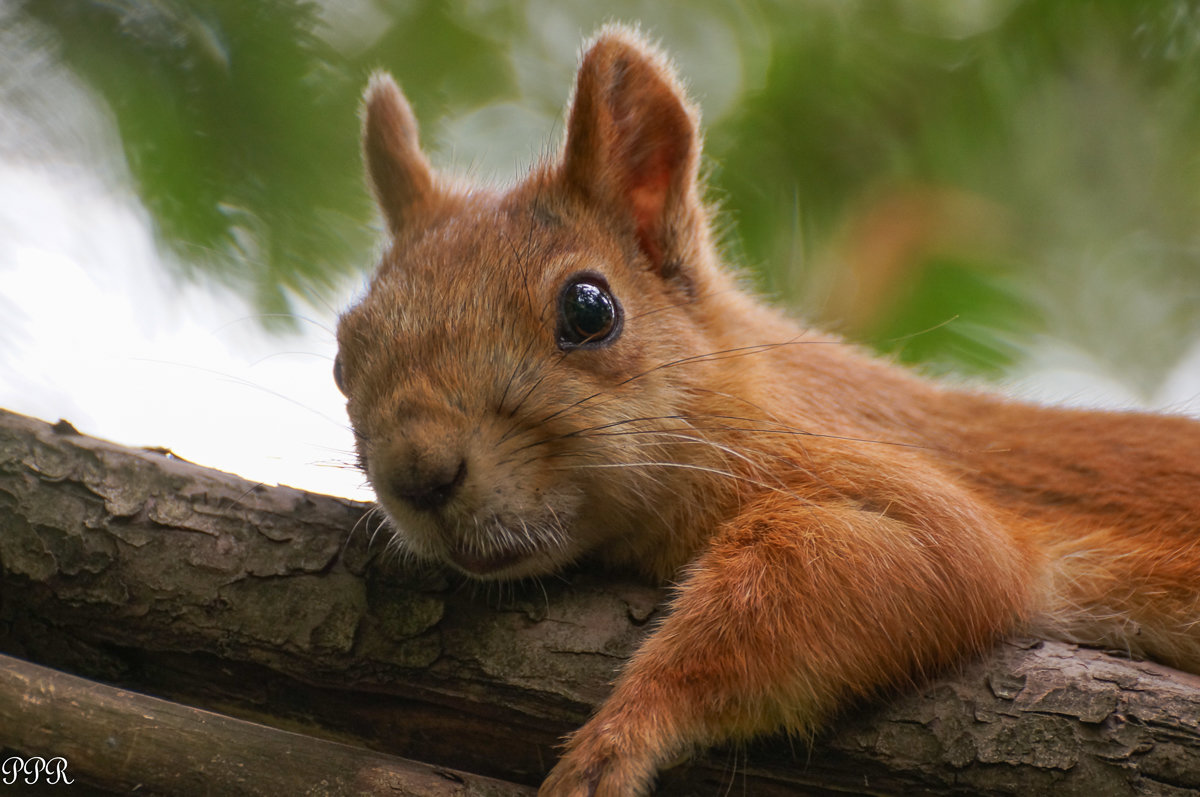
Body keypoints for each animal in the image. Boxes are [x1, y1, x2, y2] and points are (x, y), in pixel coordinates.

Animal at [333, 24, 1200, 797]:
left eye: (589, 308)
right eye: (343, 352)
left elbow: (924, 558)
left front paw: (618, 737)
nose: (418, 474)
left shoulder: (906, 486)